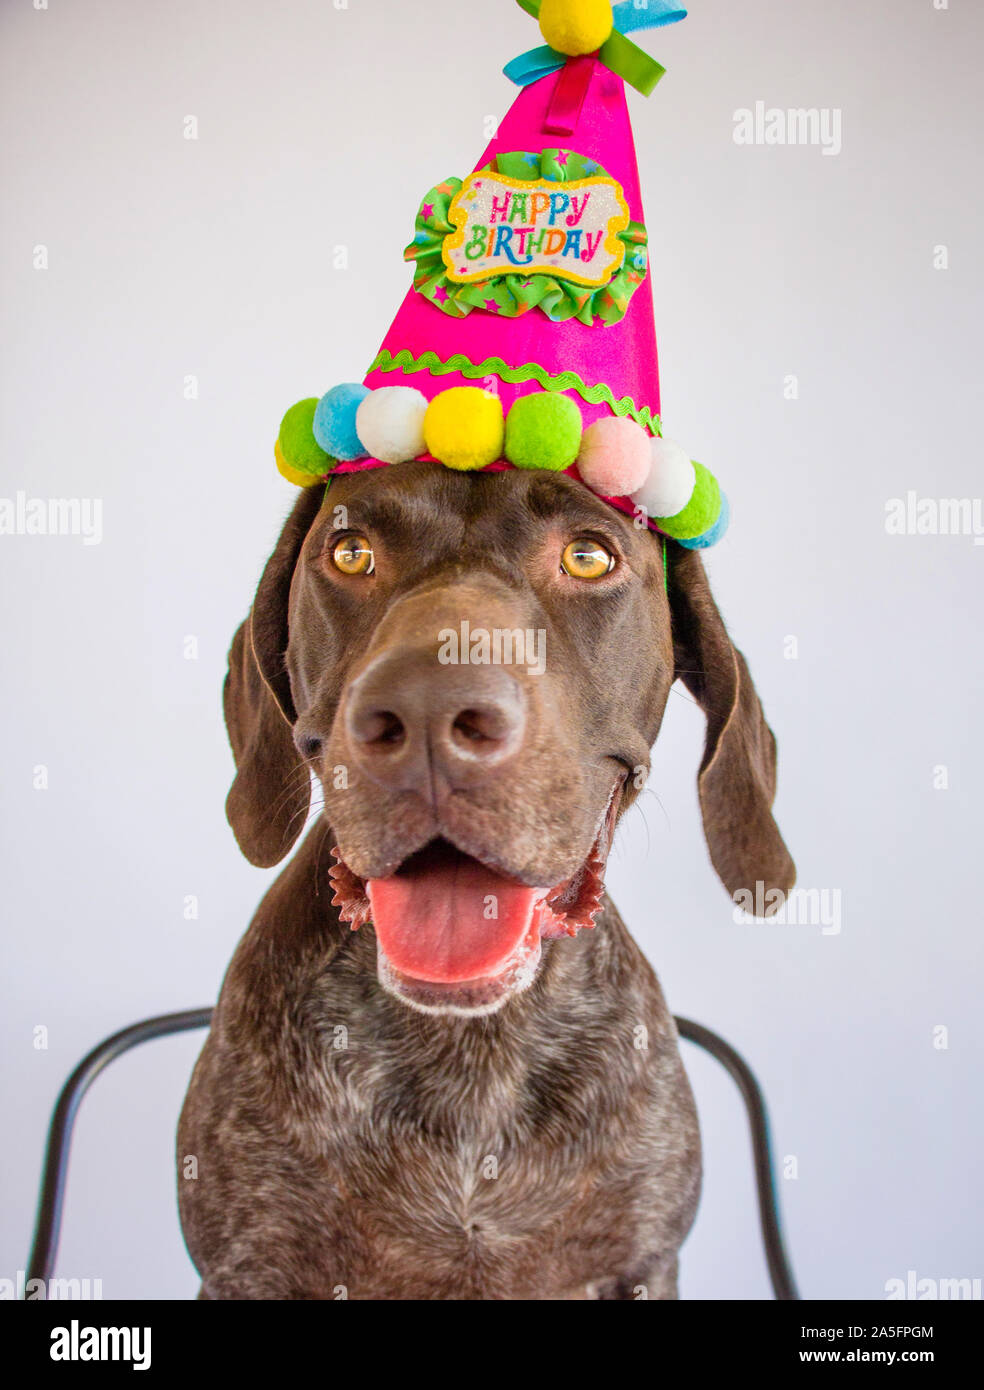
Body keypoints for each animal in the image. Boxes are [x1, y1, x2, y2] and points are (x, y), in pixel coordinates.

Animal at [175, 461, 789, 1295]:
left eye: (588, 557)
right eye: (351, 554)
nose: (428, 710)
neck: (472, 1046)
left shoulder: (641, 1262)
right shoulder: (246, 1265)